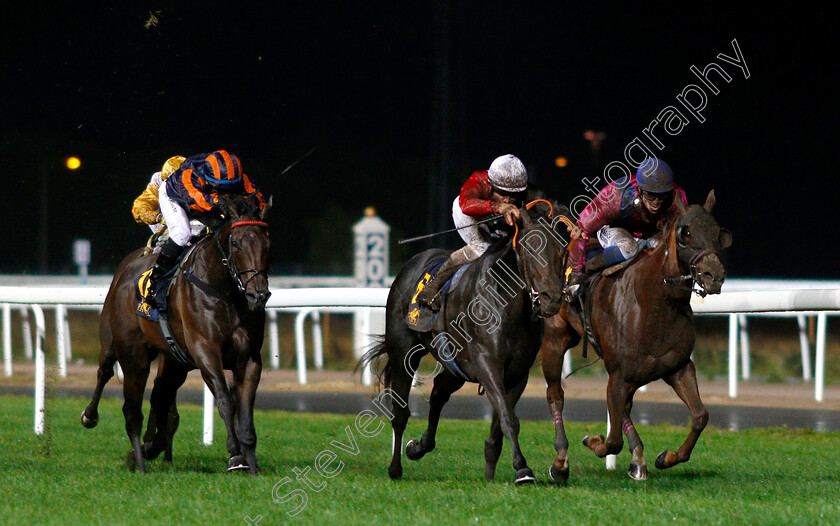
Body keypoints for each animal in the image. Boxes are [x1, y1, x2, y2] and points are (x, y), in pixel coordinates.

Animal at [81, 196, 270, 476]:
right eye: (235, 244)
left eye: (267, 244)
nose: (258, 295)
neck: (225, 291)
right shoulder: (205, 350)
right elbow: (226, 401)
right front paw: (235, 456)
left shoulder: (249, 358)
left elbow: (245, 412)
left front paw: (251, 462)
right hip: (123, 346)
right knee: (112, 381)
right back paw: (102, 426)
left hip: (173, 361)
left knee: (159, 393)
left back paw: (148, 448)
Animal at [358, 203, 568, 486]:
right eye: (530, 248)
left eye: (562, 250)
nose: (551, 299)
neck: (506, 302)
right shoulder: (487, 363)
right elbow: (508, 418)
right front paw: (522, 469)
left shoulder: (517, 373)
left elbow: (502, 421)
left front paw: (492, 472)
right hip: (404, 354)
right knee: (400, 413)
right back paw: (395, 468)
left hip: (456, 365)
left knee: (438, 392)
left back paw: (418, 447)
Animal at [544, 192, 728, 484]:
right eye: (686, 232)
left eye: (717, 232)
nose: (714, 275)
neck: (654, 304)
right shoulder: (618, 375)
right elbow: (612, 441)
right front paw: (593, 441)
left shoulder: (678, 367)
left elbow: (700, 416)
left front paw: (666, 457)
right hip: (555, 337)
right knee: (555, 395)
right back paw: (561, 462)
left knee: (627, 409)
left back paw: (638, 459)